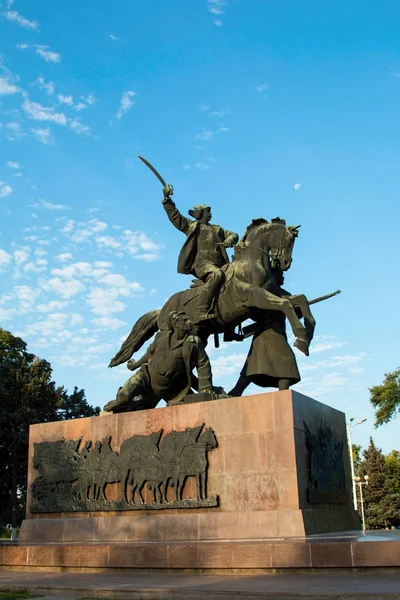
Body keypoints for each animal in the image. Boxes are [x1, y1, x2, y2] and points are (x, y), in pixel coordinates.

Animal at [109, 219, 316, 368]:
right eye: (290, 240)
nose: (285, 263)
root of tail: (162, 310)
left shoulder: (269, 297)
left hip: (201, 334)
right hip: (174, 332)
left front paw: (308, 333)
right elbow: (286, 304)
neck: (251, 263)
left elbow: (301, 299)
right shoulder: (255, 296)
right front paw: (301, 338)